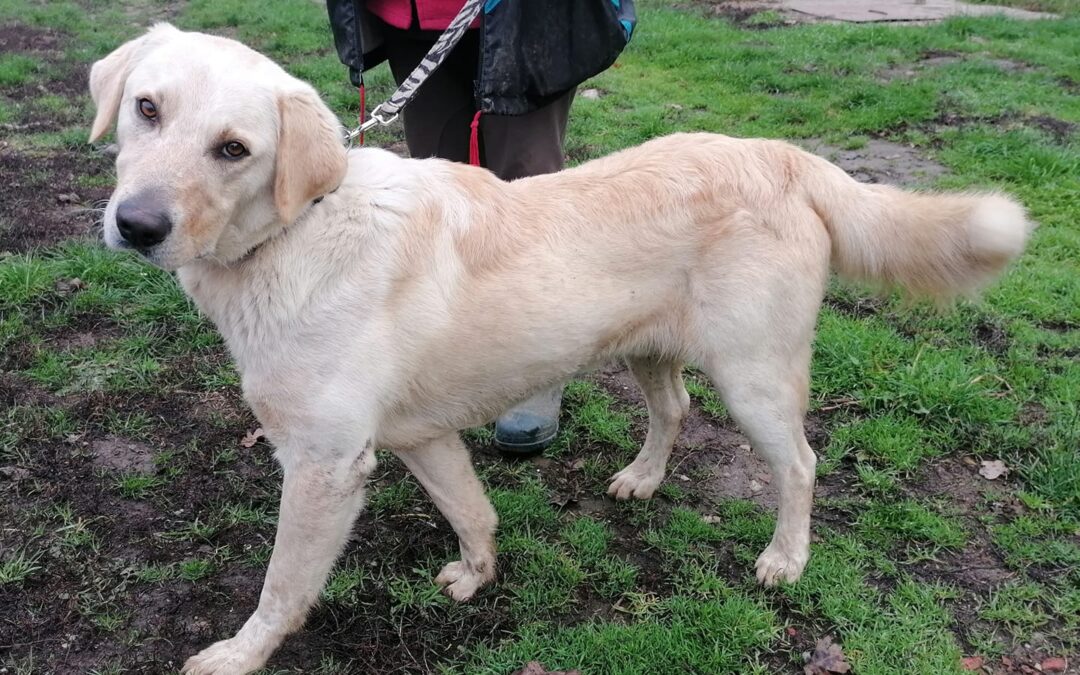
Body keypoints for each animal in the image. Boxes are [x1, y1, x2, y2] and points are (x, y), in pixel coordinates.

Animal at [88, 23, 1032, 669]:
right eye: (147, 109)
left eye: (234, 149)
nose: (136, 226)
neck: (293, 233)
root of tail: (782, 154)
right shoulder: (418, 435)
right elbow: (474, 509)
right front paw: (477, 575)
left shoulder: (325, 465)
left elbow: (284, 583)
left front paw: (239, 654)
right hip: (651, 347)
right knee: (674, 408)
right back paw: (643, 478)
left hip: (754, 375)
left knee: (799, 462)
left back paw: (784, 558)